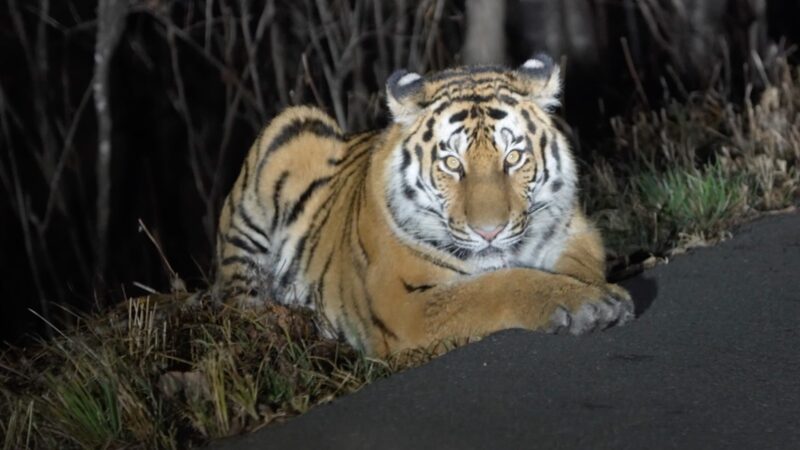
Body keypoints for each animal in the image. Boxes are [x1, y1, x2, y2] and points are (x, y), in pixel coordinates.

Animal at [214, 53, 634, 357]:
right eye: (452, 164)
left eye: (513, 157)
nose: (490, 231)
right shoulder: (402, 303)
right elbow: (492, 288)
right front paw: (585, 304)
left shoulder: (576, 233)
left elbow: (576, 266)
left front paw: (597, 293)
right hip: (291, 129)